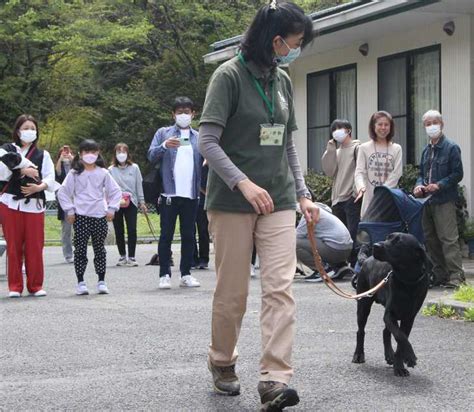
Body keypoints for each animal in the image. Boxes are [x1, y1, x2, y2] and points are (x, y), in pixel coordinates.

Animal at [352, 232, 430, 376]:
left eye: (398, 242)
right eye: (388, 237)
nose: (376, 245)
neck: (407, 282)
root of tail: (366, 260)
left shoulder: (408, 318)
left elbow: (401, 340)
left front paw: (400, 364)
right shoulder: (389, 314)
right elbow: (400, 337)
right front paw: (408, 358)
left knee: (385, 332)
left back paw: (390, 356)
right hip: (363, 306)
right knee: (361, 331)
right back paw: (359, 354)